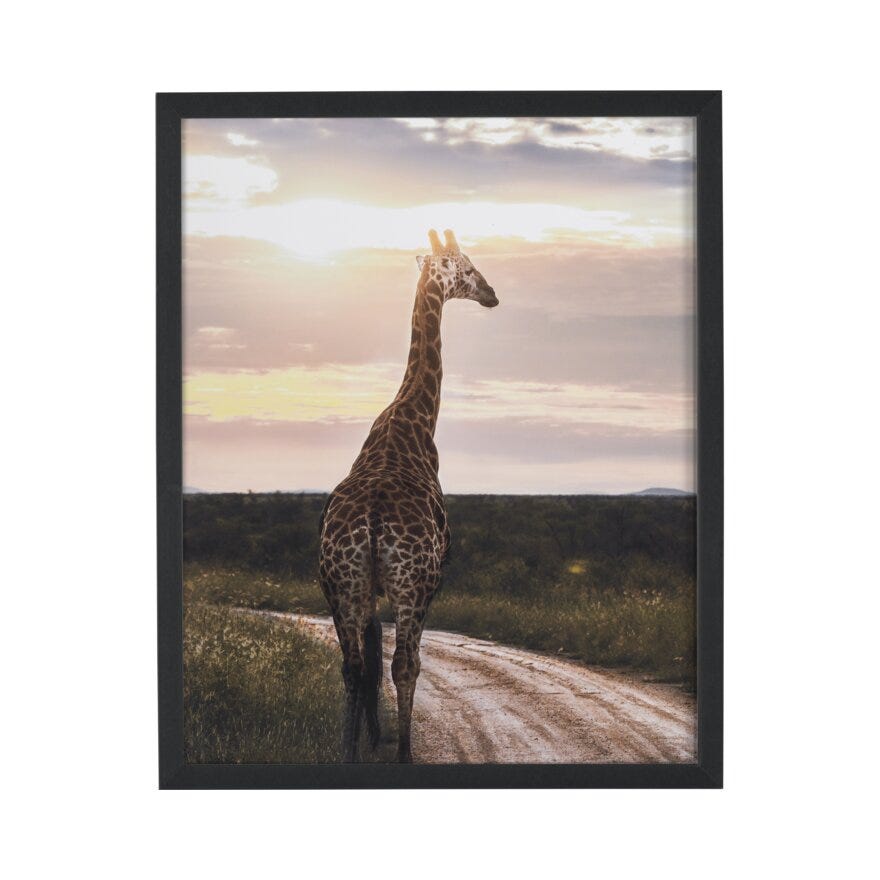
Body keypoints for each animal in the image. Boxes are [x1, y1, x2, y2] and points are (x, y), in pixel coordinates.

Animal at [318, 228, 498, 763]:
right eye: (466, 267)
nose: (491, 293)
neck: (412, 419)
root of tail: (373, 524)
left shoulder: (366, 590)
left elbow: (369, 659)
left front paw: (370, 736)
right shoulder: (429, 581)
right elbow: (403, 662)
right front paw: (392, 741)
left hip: (341, 585)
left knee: (353, 665)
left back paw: (349, 752)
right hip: (411, 584)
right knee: (405, 662)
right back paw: (403, 753)